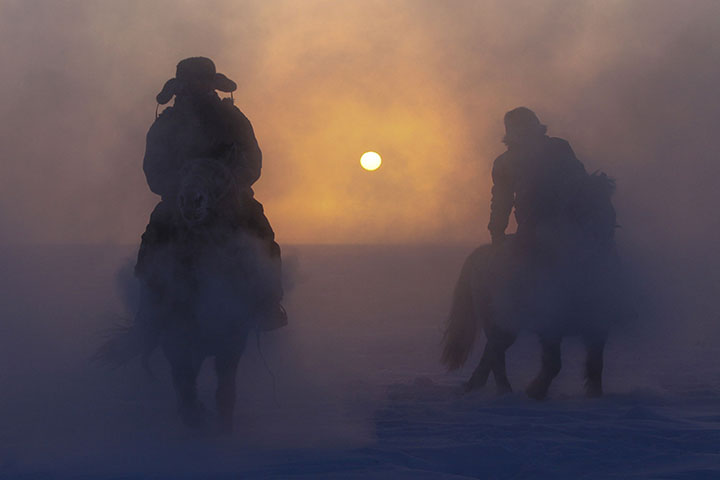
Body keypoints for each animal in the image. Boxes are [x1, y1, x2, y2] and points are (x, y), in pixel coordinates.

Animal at [97, 157, 282, 432]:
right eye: (182, 170)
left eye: (219, 175)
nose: (190, 200)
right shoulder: (176, 338)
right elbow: (184, 383)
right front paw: (196, 420)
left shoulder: (233, 337)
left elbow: (225, 388)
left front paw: (222, 426)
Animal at [438, 174, 632, 400]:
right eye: (584, 205)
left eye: (609, 204)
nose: (605, 234)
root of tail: (483, 253)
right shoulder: (550, 327)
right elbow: (554, 364)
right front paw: (535, 391)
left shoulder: (598, 326)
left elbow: (595, 365)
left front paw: (595, 395)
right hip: (497, 321)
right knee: (496, 354)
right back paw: (503, 391)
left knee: (492, 350)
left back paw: (477, 386)